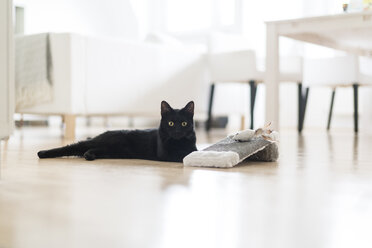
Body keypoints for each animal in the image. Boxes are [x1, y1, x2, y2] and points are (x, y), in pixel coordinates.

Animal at [37, 101, 198, 163]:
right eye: (170, 123)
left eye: (184, 123)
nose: (177, 131)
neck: (179, 143)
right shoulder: (166, 154)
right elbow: (184, 155)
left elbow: (192, 151)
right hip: (103, 144)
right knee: (74, 146)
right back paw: (42, 153)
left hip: (110, 150)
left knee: (89, 150)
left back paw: (88, 155)